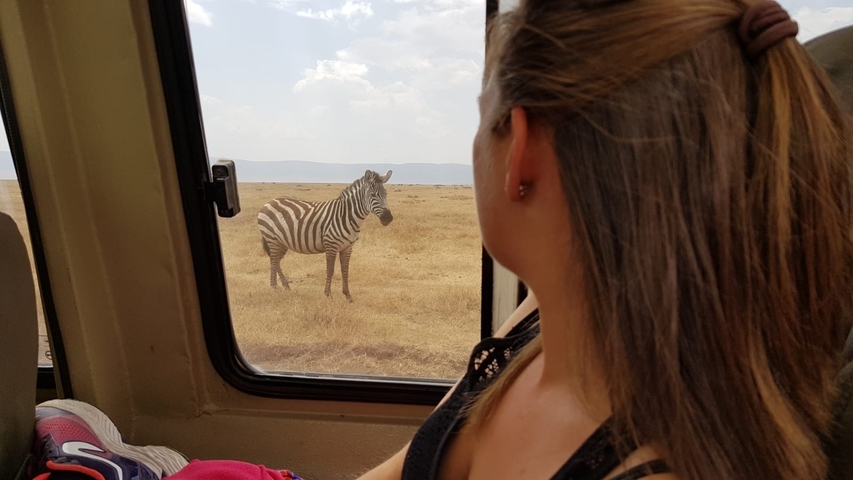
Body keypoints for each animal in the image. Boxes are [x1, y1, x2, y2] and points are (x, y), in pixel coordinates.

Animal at [257, 170, 394, 302]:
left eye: (386, 194)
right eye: (373, 195)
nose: (388, 218)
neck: (346, 216)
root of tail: (269, 202)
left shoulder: (347, 247)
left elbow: (345, 270)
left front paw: (347, 295)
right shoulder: (331, 245)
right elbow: (330, 270)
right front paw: (328, 294)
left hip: (282, 242)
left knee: (274, 260)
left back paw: (280, 286)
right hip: (272, 238)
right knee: (274, 260)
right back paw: (278, 286)